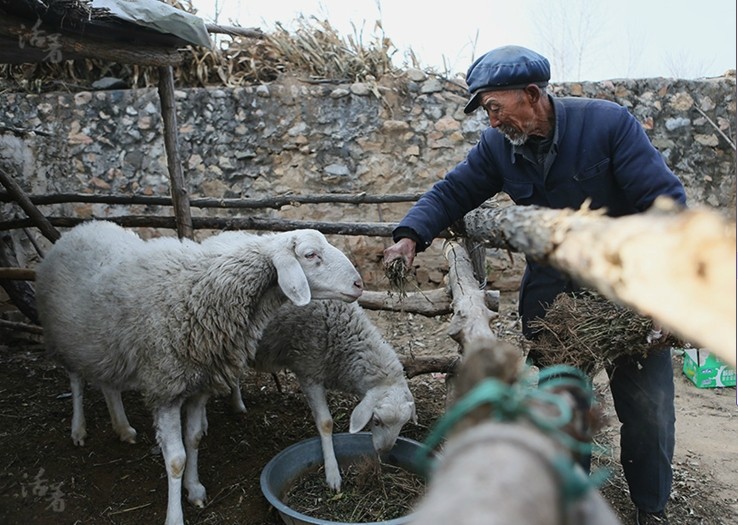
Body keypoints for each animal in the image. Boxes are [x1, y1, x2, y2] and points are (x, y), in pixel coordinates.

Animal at [34, 220, 362, 524]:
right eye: (310, 254)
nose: (359, 284)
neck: (203, 291)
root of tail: (83, 227)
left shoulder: (199, 385)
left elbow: (192, 439)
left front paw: (194, 489)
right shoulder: (165, 388)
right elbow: (176, 459)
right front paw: (175, 515)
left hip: (104, 344)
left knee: (108, 384)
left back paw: (123, 428)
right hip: (65, 334)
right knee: (76, 380)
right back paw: (78, 429)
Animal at [227, 298, 414, 492]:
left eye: (403, 423)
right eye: (376, 421)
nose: (384, 452)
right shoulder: (309, 371)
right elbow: (325, 423)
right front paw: (332, 474)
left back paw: (238, 404)